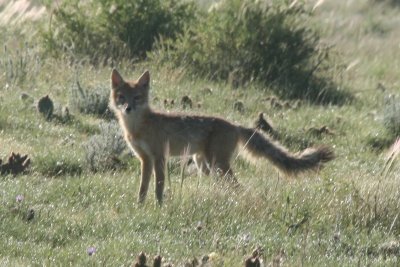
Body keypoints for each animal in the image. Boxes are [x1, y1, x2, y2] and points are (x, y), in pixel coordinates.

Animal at [109, 70, 334, 204]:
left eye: (137, 98)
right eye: (122, 97)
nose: (128, 108)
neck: (138, 127)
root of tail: (235, 125)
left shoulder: (159, 158)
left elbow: (158, 186)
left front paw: (159, 206)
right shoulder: (145, 159)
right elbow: (143, 187)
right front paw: (140, 206)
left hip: (217, 165)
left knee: (237, 187)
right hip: (205, 165)